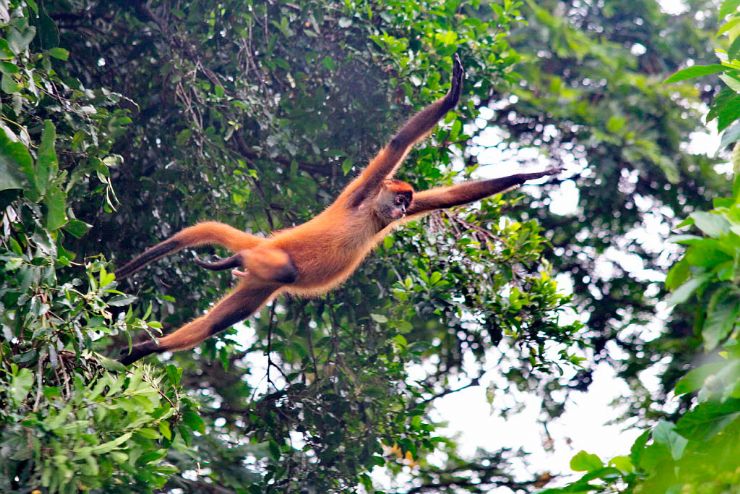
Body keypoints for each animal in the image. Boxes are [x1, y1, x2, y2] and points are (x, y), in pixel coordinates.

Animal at [117, 55, 560, 362]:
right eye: (400, 200)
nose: (402, 213)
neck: (372, 216)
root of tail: (263, 245)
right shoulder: (362, 192)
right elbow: (398, 143)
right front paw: (452, 96)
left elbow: (450, 197)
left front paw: (532, 174)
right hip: (273, 256)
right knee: (281, 272)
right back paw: (233, 260)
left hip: (260, 284)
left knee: (217, 322)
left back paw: (147, 348)